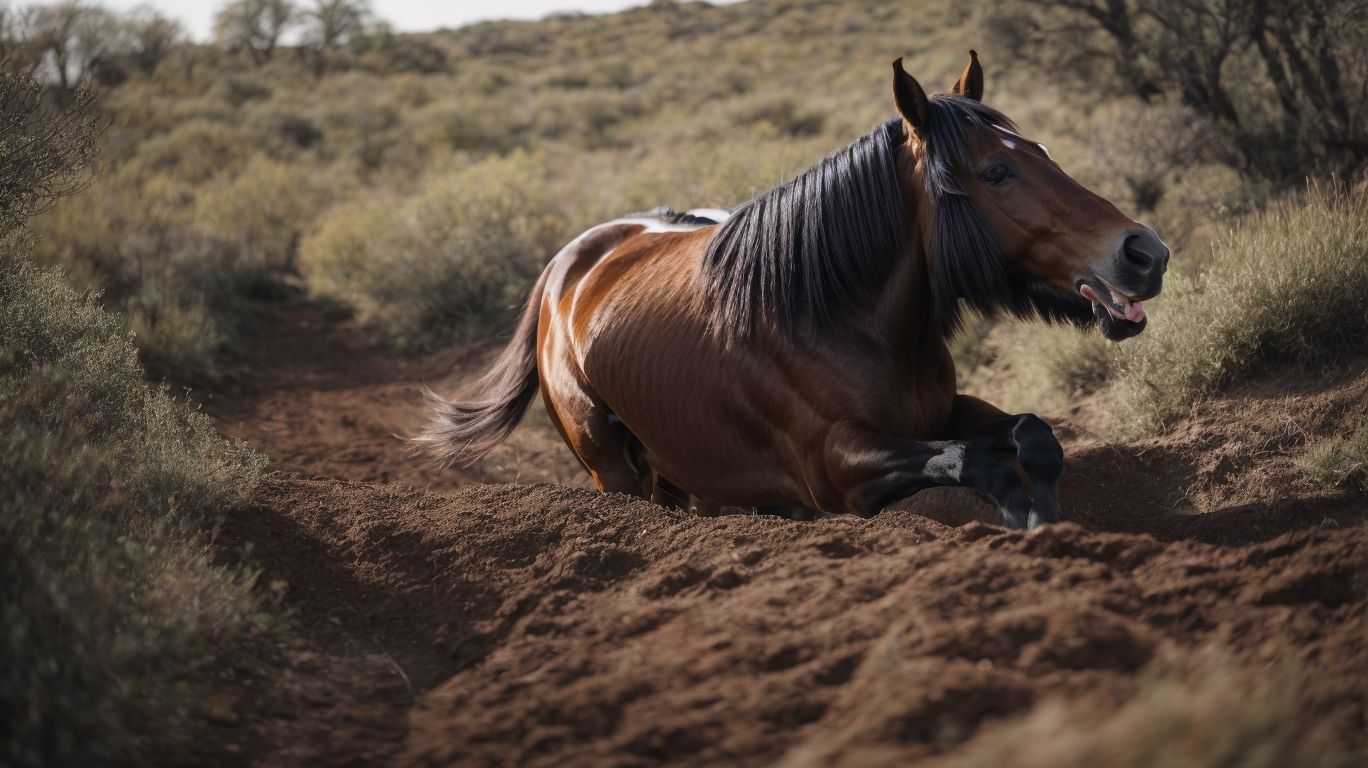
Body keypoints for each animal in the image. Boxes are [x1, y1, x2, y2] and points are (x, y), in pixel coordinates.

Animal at [418, 51, 1169, 530]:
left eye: (1039, 151)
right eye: (996, 172)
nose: (1145, 252)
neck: (833, 320)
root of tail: (567, 267)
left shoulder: (944, 410)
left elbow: (1032, 432)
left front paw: (1047, 509)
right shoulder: (839, 469)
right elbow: (973, 460)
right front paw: (1024, 515)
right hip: (612, 471)